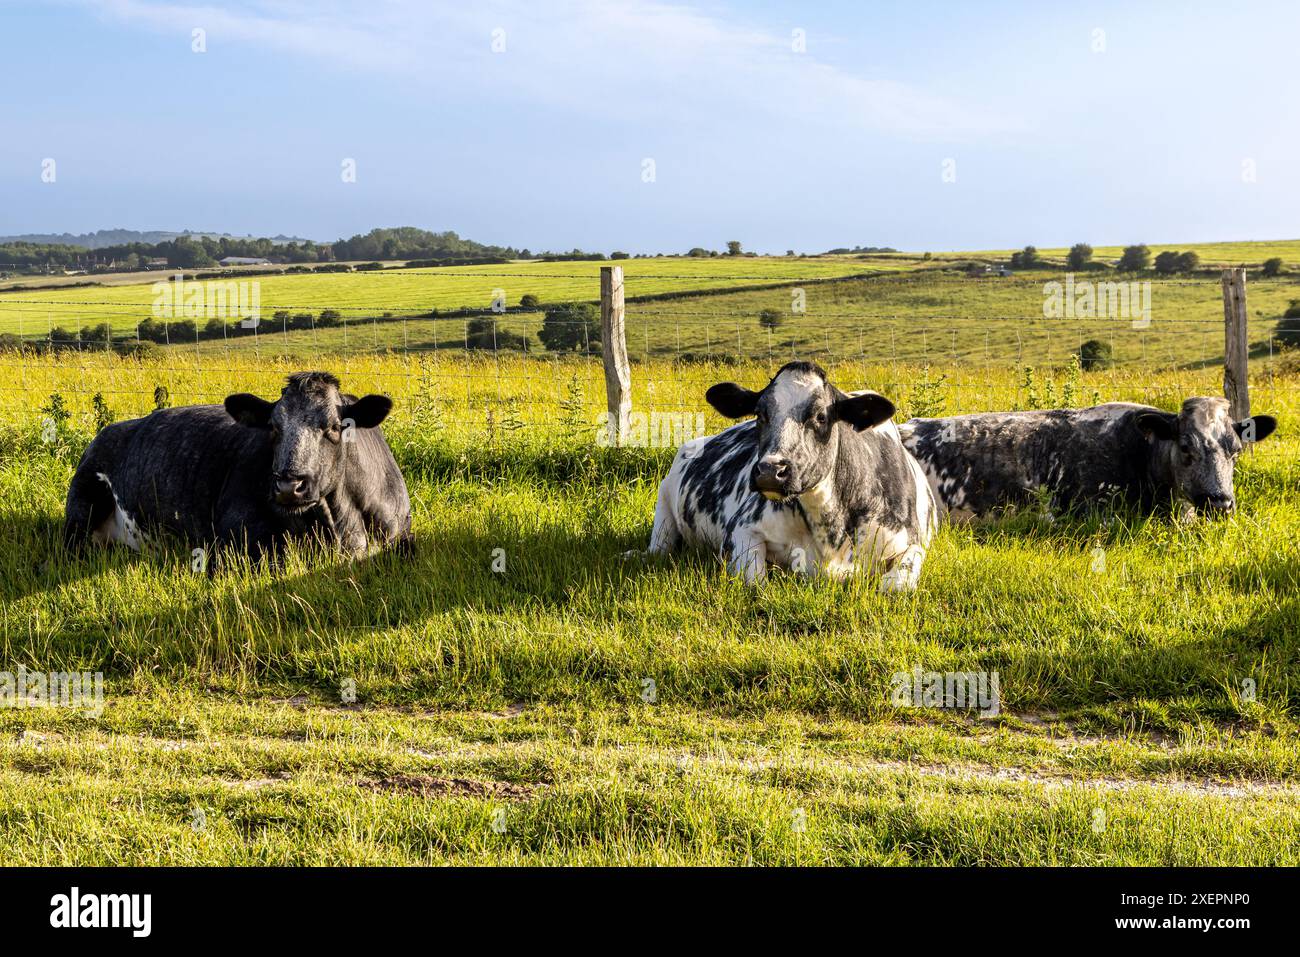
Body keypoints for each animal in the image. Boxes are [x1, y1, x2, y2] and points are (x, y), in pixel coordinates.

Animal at [64, 371, 412, 563]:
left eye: (335, 427)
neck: (342, 527)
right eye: (273, 427)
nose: (289, 486)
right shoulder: (236, 533)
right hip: (81, 510)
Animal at [642, 361, 937, 591]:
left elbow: (896, 585)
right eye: (760, 414)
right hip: (663, 507)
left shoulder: (912, 541)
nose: (770, 471)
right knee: (658, 550)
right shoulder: (742, 529)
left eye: (821, 416)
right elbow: (755, 581)